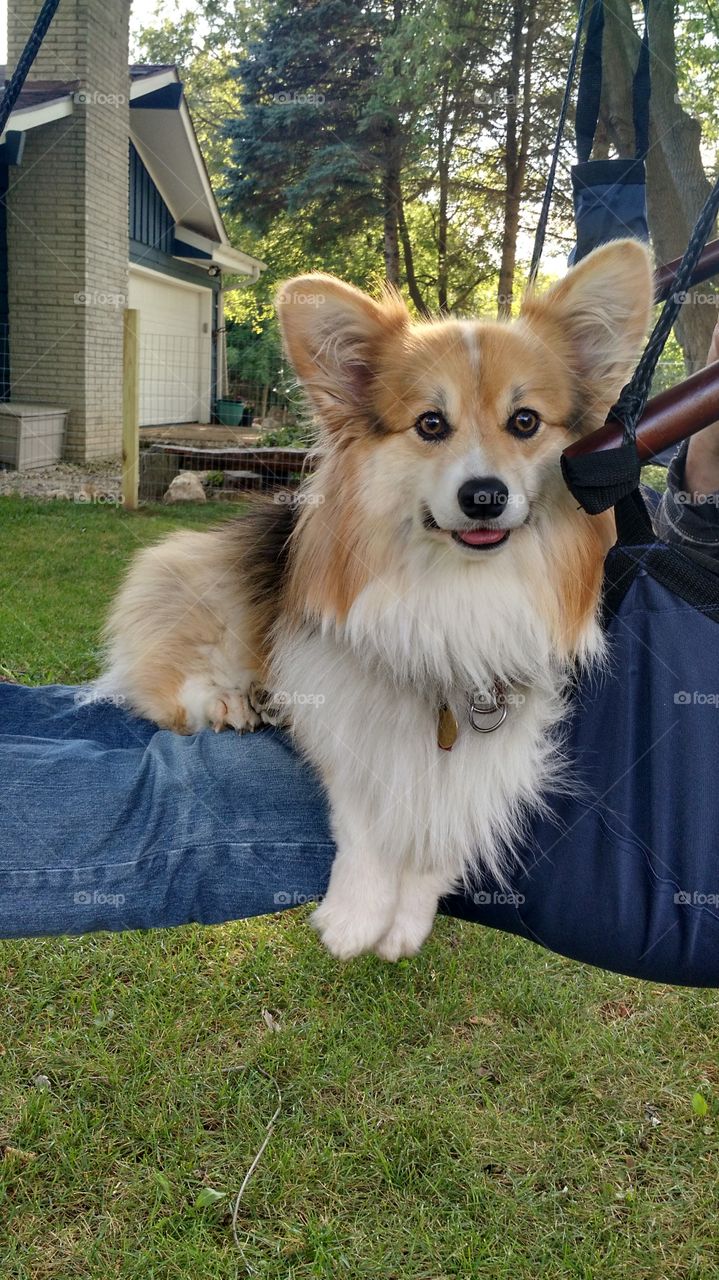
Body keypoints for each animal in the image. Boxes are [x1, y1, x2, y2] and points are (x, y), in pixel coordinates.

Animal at [97, 240, 652, 962]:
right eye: (430, 424)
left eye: (525, 421)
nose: (484, 496)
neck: (461, 587)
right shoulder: (337, 705)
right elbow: (364, 808)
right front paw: (356, 915)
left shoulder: (505, 734)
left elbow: (448, 825)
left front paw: (406, 917)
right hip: (195, 580)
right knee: (162, 679)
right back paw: (229, 701)